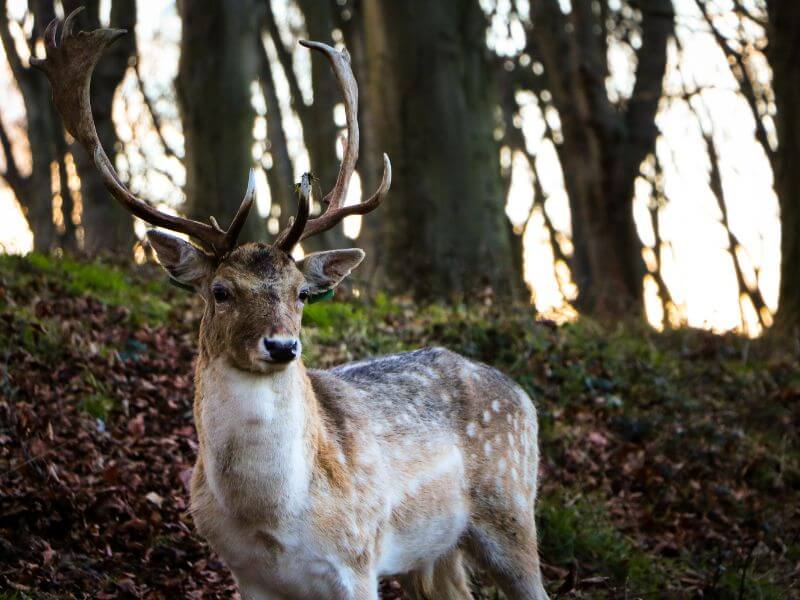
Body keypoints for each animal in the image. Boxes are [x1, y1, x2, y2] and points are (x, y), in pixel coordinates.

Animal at [34, 9, 552, 600]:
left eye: (301, 293)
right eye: (220, 291)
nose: (282, 346)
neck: (273, 522)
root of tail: (522, 396)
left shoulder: (358, 561)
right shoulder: (246, 575)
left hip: (511, 512)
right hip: (438, 552)